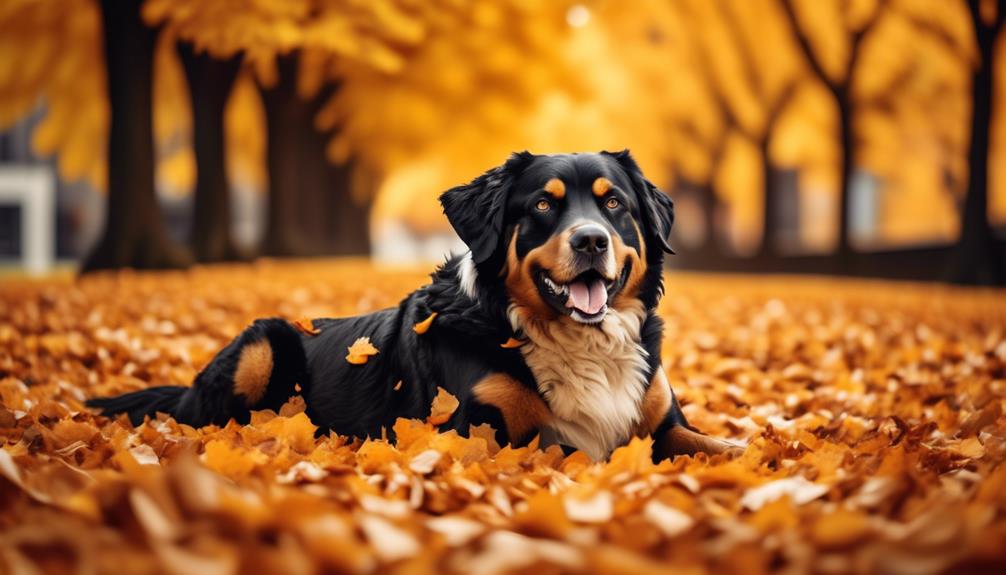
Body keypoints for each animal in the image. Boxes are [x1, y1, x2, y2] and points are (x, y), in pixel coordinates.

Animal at [88, 150, 740, 460]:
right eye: (543, 206)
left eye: (614, 205)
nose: (590, 241)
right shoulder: (481, 430)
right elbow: (577, 449)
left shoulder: (660, 419)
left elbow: (707, 444)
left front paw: (752, 456)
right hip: (260, 349)